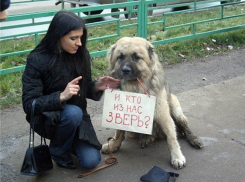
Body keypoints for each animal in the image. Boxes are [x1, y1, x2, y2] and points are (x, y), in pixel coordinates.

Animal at [101, 37, 203, 169]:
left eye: (136, 57)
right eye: (120, 57)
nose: (125, 70)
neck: (135, 88)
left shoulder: (162, 114)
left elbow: (172, 138)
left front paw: (177, 157)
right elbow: (119, 132)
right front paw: (113, 145)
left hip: (175, 108)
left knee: (184, 127)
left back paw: (193, 139)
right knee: (150, 135)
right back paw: (146, 138)